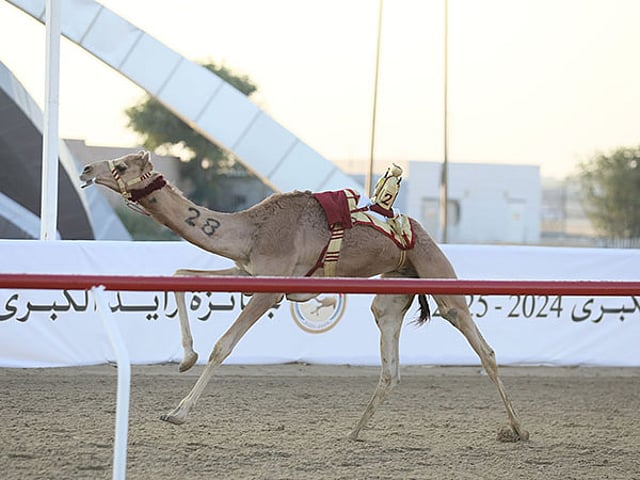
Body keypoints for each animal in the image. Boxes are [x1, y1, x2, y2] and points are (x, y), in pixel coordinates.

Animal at [79, 150, 529, 442]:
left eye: (120, 165)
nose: (85, 168)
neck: (252, 228)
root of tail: (416, 230)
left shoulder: (272, 287)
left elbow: (224, 345)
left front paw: (178, 412)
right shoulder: (248, 271)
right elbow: (179, 275)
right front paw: (185, 359)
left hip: (438, 273)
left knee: (481, 345)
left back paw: (518, 429)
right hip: (394, 288)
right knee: (390, 361)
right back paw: (353, 432)